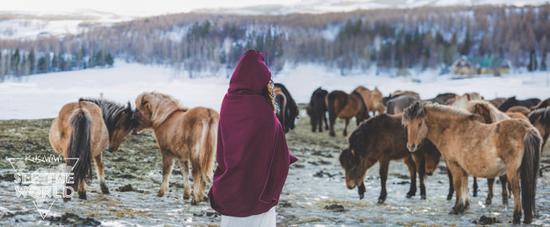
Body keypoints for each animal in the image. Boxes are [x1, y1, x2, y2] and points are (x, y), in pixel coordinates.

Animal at [406, 102, 544, 224]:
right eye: (407, 125)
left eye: (420, 124)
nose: (411, 146)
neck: (452, 130)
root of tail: (527, 129)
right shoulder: (463, 167)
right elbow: (464, 185)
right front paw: (464, 206)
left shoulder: (454, 165)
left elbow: (457, 185)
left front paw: (456, 208)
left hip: (512, 171)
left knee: (516, 191)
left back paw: (516, 217)